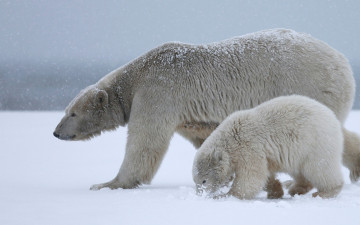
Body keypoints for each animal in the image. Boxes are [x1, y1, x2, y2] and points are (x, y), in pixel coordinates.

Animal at [52, 28, 358, 190]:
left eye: (72, 113)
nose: (55, 132)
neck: (138, 75)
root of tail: (342, 61)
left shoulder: (157, 92)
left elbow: (145, 143)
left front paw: (107, 183)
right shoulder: (186, 114)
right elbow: (205, 138)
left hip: (308, 84)